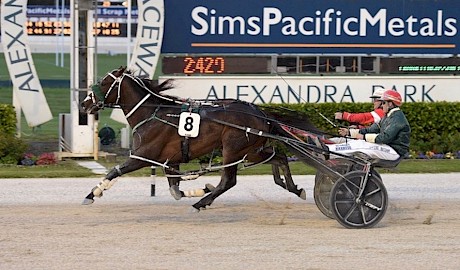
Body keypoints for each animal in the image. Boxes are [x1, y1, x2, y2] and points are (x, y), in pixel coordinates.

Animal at [81, 67, 322, 211]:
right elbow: (176, 192)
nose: (84, 104)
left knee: (229, 181)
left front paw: (92, 193)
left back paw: (201, 203)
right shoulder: (170, 161)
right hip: (250, 150)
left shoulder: (143, 156)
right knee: (279, 157)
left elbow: (114, 171)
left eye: (104, 83)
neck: (152, 113)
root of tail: (260, 113)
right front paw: (203, 188)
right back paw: (292, 187)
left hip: (232, 149)